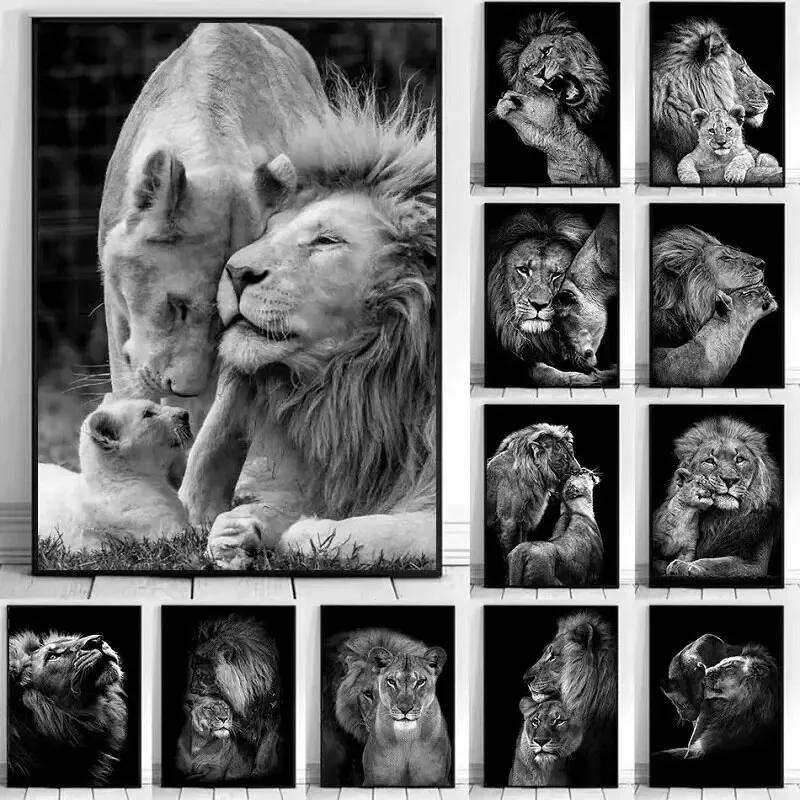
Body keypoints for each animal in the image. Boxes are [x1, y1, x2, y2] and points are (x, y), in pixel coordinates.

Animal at [178, 76, 437, 569]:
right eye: (268, 231)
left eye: (327, 240)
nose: (235, 272)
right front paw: (238, 531)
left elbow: (362, 531)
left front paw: (299, 530)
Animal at [183, 614, 282, 781]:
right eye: (192, 669)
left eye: (201, 674)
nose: (191, 689)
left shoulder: (272, 721)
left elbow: (265, 751)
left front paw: (258, 773)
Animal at [361, 646, 451, 787]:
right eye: (391, 681)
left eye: (420, 682)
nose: (404, 708)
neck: (406, 738)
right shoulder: (372, 780)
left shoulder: (440, 779)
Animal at [486, 423, 582, 558]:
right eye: (562, 459)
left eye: (572, 455)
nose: (579, 471)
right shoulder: (509, 521)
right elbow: (511, 549)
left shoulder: (524, 521)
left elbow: (521, 544)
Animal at [653, 416, 781, 580]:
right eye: (709, 461)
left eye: (740, 459)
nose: (729, 480)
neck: (720, 519)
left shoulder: (755, 564)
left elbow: (718, 563)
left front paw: (684, 566)